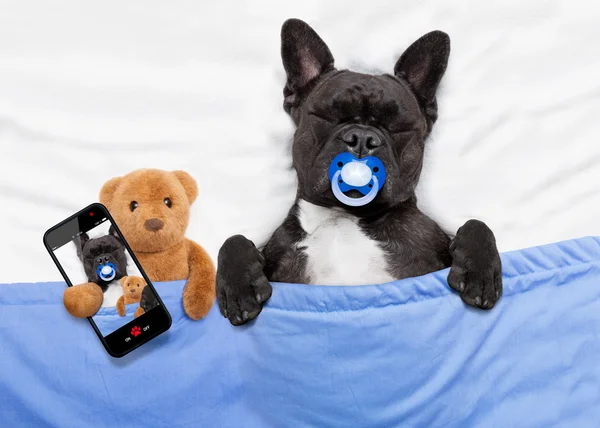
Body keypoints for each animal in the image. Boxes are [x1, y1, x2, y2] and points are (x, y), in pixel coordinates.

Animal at [216, 19, 502, 324]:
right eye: (327, 116)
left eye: (398, 127)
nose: (362, 138)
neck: (346, 217)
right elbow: (234, 239)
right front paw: (240, 288)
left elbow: (475, 224)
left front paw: (479, 275)